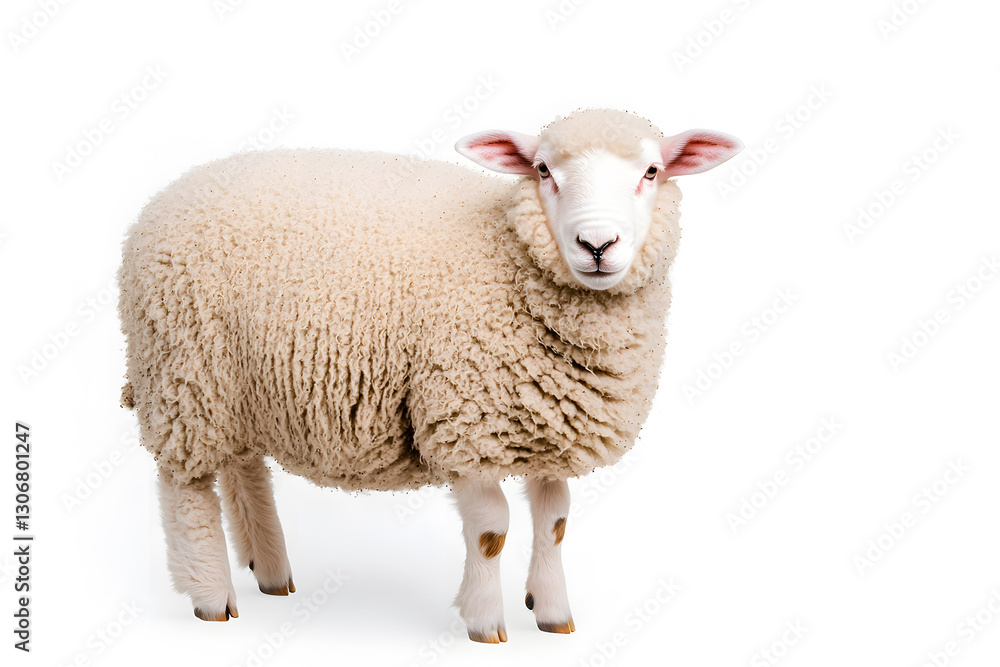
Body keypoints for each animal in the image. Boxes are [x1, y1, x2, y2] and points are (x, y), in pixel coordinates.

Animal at [117, 108, 741, 642]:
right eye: (543, 169)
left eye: (652, 171)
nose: (597, 244)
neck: (510, 259)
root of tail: (167, 194)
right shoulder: (464, 419)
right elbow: (491, 530)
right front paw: (486, 622)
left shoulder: (548, 426)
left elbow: (555, 522)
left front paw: (553, 613)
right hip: (183, 373)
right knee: (186, 490)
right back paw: (211, 597)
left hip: (236, 382)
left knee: (242, 467)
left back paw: (271, 571)